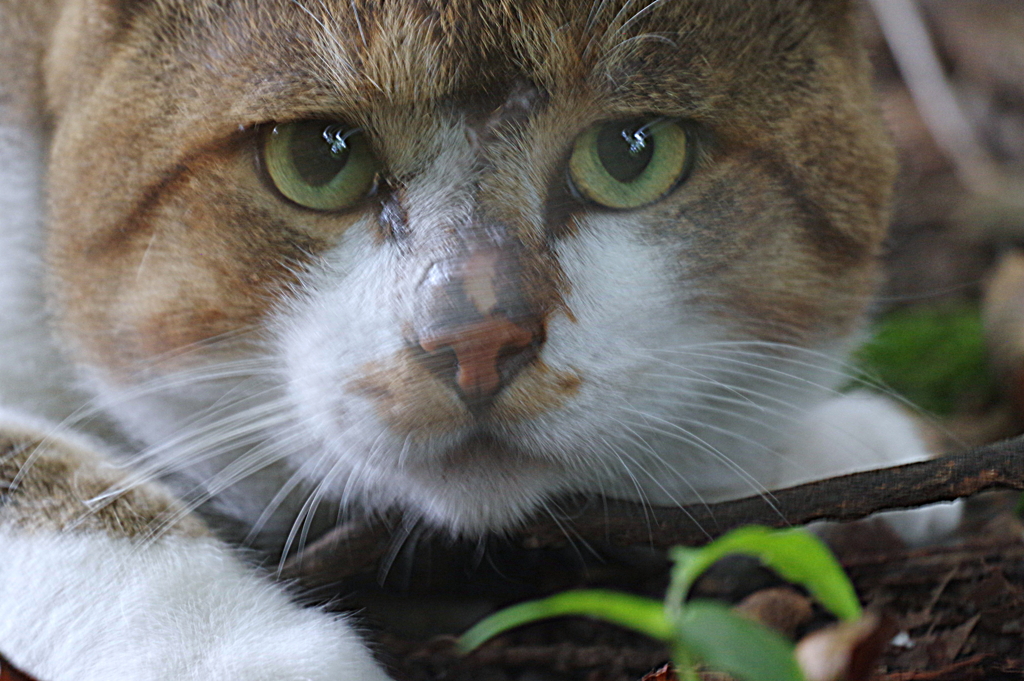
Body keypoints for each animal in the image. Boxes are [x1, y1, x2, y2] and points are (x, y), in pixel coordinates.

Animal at [2, 0, 950, 675]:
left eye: (632, 152)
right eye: (316, 155)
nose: (477, 340)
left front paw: (808, 440)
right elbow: (45, 471)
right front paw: (233, 646)